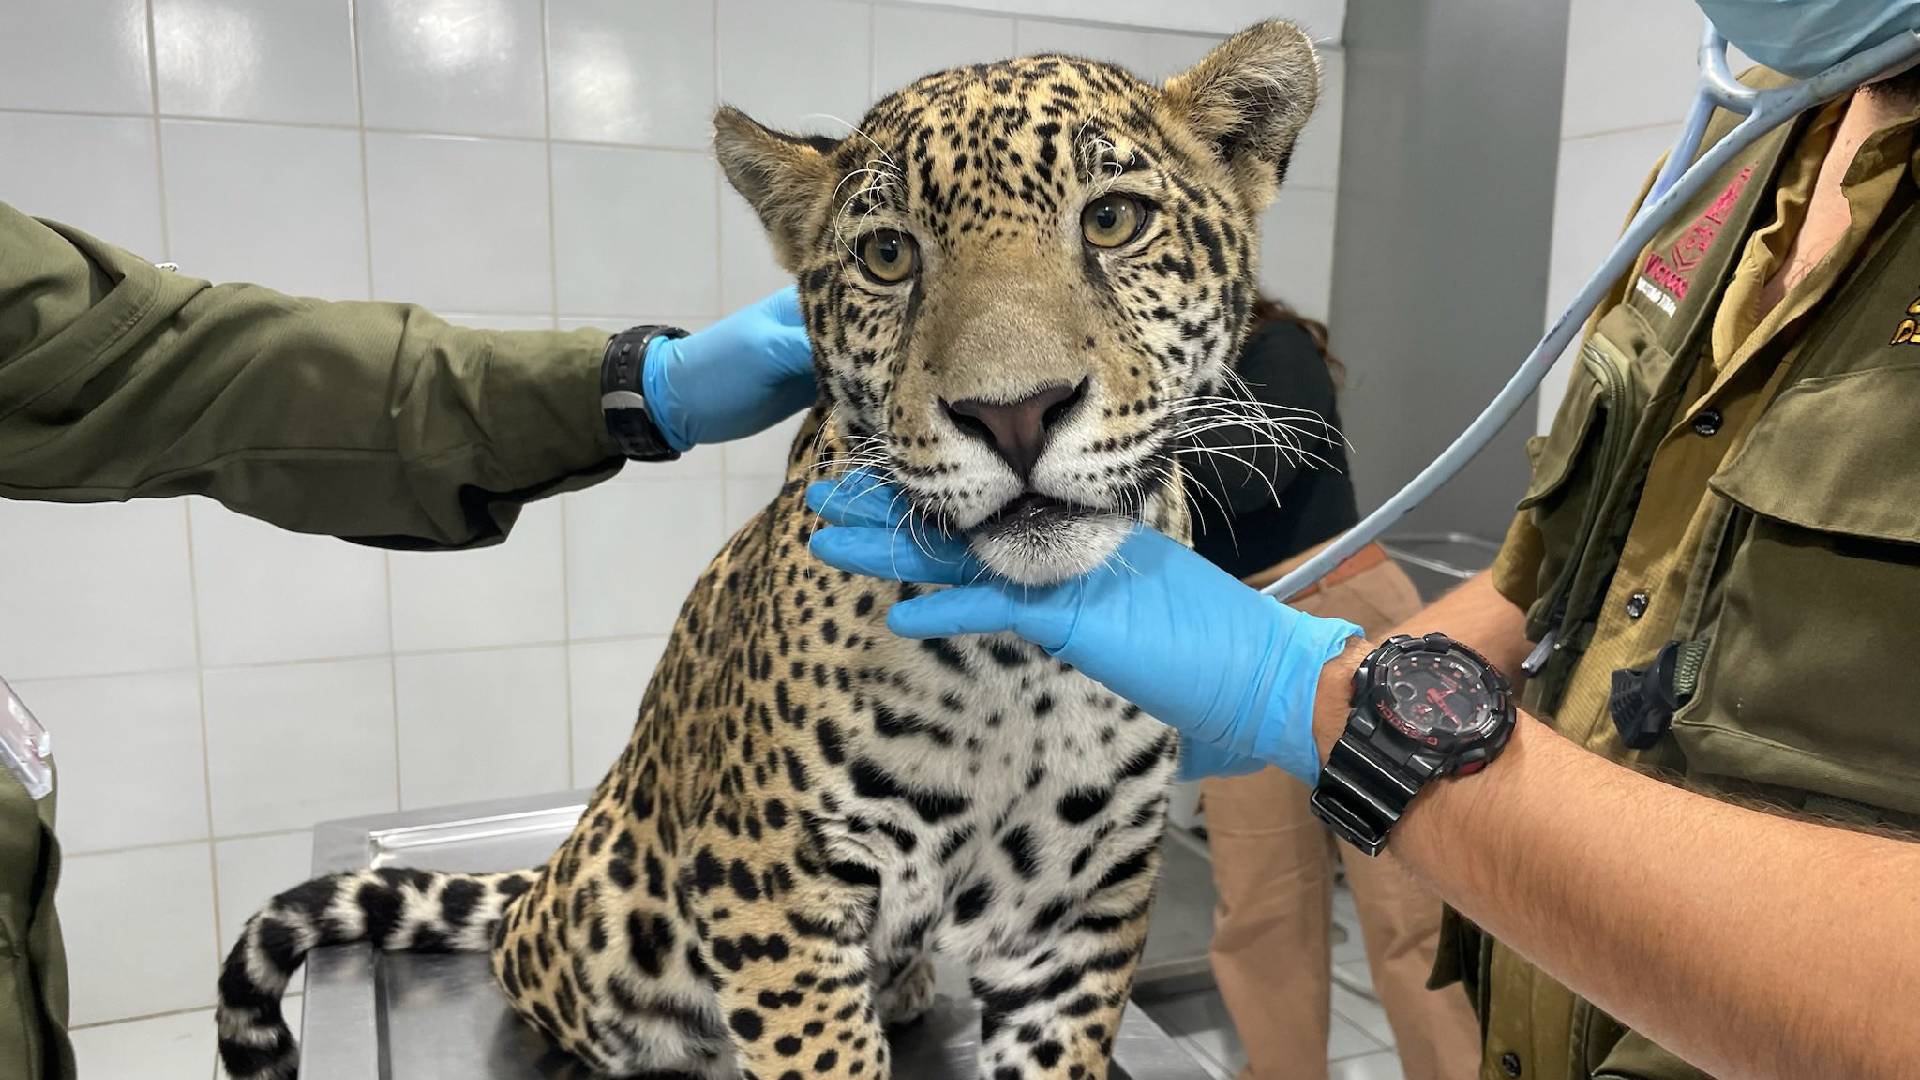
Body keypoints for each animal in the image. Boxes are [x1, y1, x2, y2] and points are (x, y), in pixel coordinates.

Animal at [214, 20, 1320, 1080]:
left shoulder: (1081, 917)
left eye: (1113, 220)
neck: (1023, 662)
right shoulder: (769, 883)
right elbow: (820, 1054)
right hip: (609, 938)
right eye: (888, 257)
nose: (1013, 415)